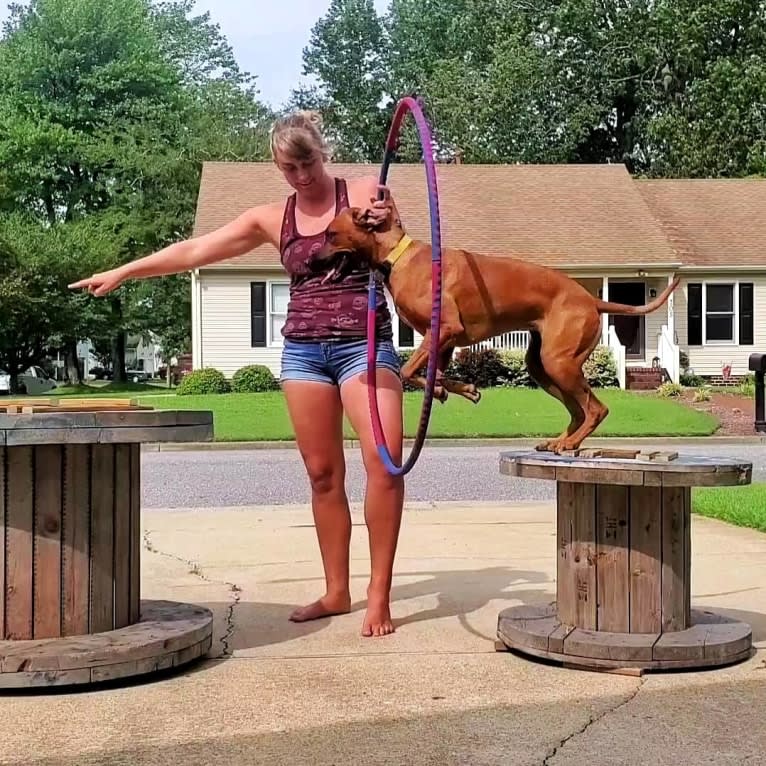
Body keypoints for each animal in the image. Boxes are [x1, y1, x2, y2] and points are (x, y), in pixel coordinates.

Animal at [320, 207, 680, 452]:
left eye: (330, 234)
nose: (311, 260)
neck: (397, 257)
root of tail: (591, 299)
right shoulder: (444, 341)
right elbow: (434, 375)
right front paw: (459, 390)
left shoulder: (444, 329)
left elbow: (407, 370)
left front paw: (449, 389)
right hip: (542, 367)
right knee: (579, 410)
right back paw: (561, 440)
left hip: (559, 362)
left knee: (596, 409)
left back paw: (569, 442)